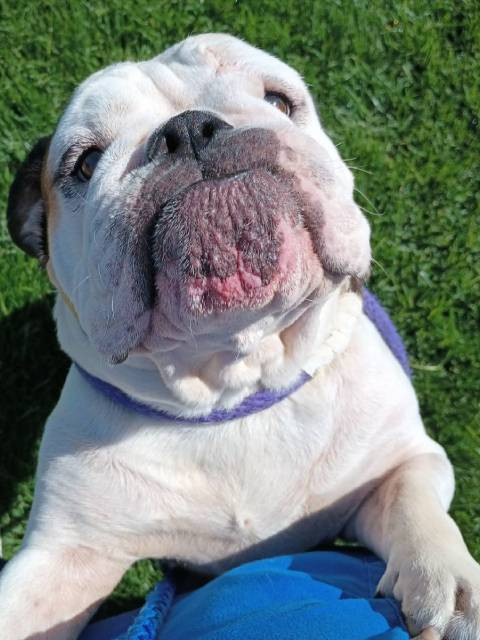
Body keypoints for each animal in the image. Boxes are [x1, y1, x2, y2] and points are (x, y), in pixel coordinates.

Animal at [1, 33, 479, 640]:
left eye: (279, 101)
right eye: (84, 164)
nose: (188, 128)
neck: (235, 379)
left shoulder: (400, 459)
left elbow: (412, 500)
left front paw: (448, 581)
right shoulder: (67, 552)